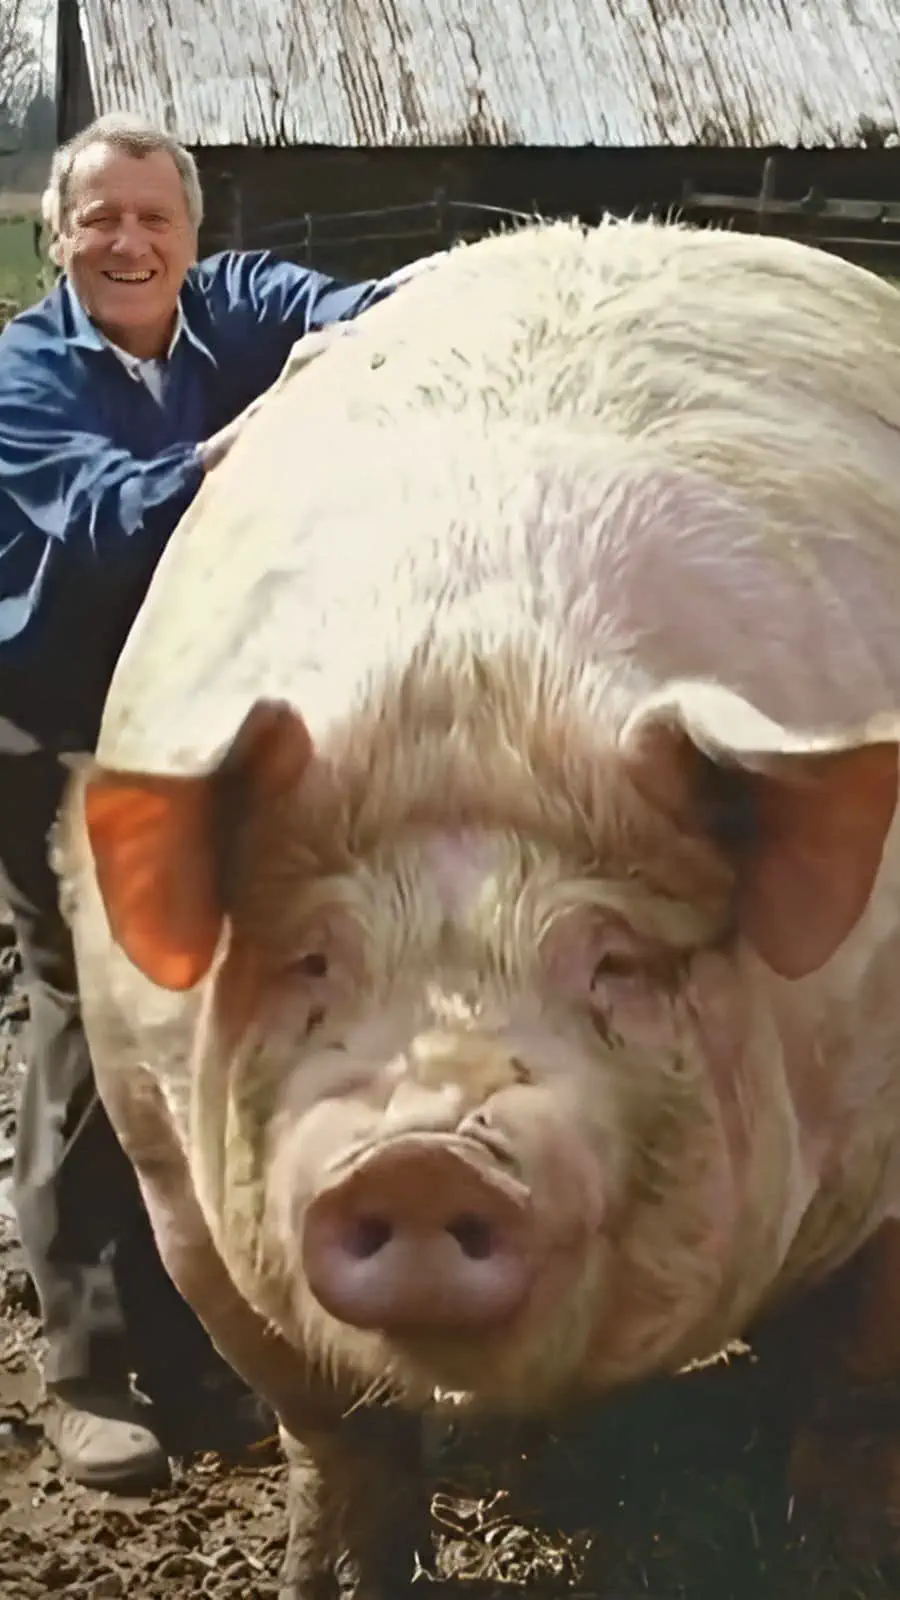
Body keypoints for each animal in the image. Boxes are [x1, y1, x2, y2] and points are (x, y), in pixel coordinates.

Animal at [54, 213, 900, 1594]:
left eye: (613, 964)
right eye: (313, 961)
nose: (420, 1152)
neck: (482, 690)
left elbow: (860, 1388)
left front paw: (840, 1561)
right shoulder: (171, 1175)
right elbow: (331, 1424)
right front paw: (332, 1578)